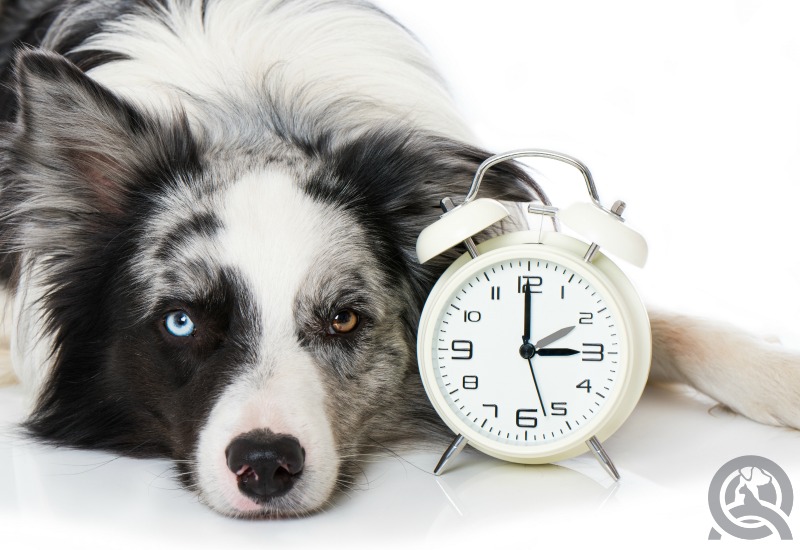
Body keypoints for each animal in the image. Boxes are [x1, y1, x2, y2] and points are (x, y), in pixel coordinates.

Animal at [1, 0, 800, 520]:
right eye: (179, 322)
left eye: (345, 320)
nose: (265, 466)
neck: (251, 113)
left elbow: (664, 322)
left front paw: (778, 374)